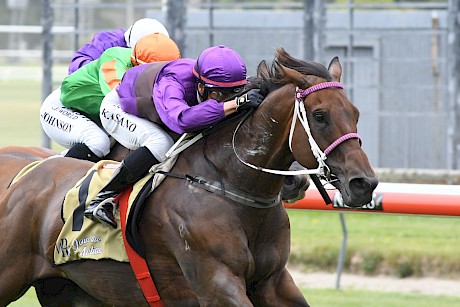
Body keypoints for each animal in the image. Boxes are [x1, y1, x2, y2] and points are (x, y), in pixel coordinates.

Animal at [0, 49, 378, 306]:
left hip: (69, 288)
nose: (364, 184)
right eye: (320, 115)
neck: (231, 186)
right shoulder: (216, 284)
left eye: (356, 113)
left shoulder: (273, 281)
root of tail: (23, 179)